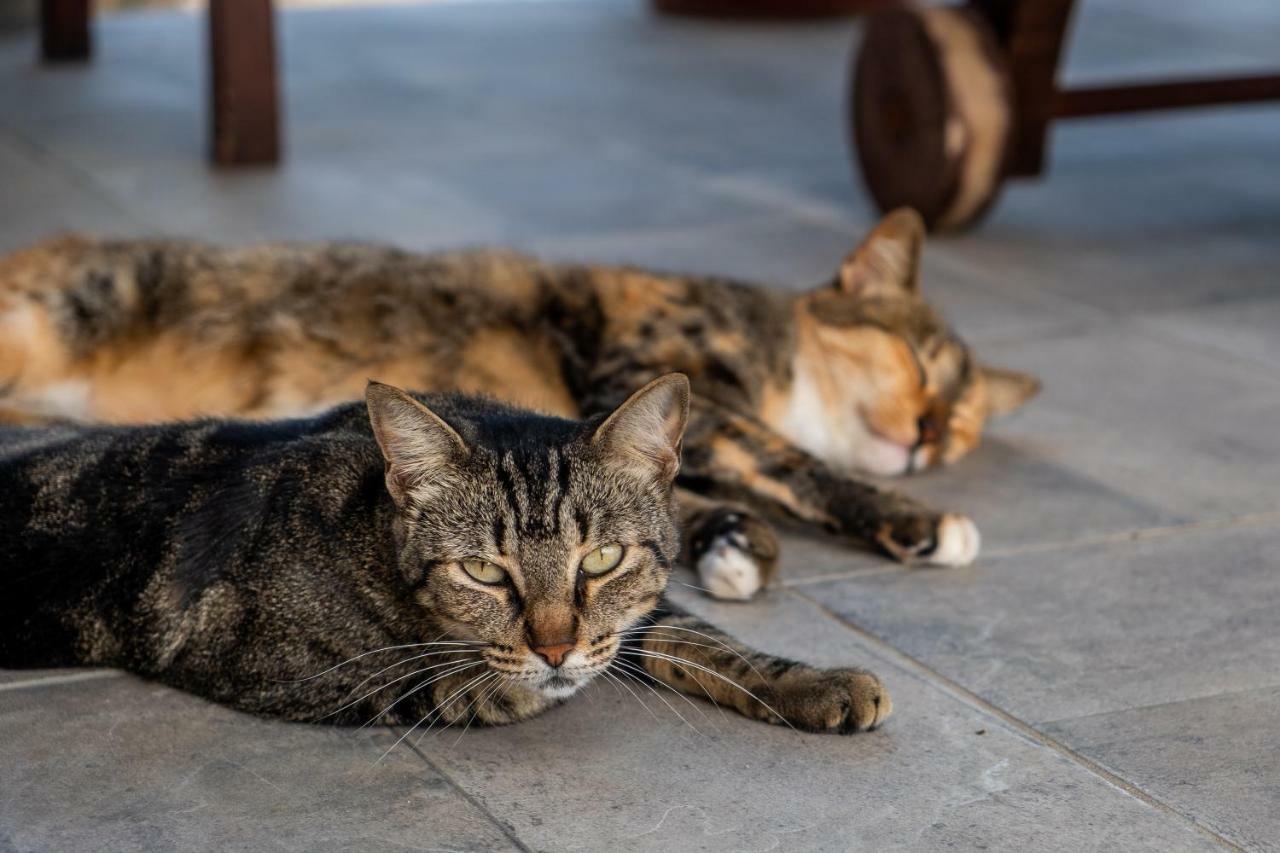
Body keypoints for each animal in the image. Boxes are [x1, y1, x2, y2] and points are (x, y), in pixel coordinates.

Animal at [0, 207, 1034, 596]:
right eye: (917, 359)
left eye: (964, 422)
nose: (931, 434)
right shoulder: (650, 373)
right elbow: (793, 462)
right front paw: (919, 519)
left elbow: (656, 496)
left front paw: (732, 540)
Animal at [0, 376, 890, 732]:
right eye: (484, 571)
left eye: (601, 559)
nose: (555, 645)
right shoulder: (280, 660)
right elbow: (467, 682)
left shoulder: (626, 615)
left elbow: (693, 633)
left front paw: (816, 682)